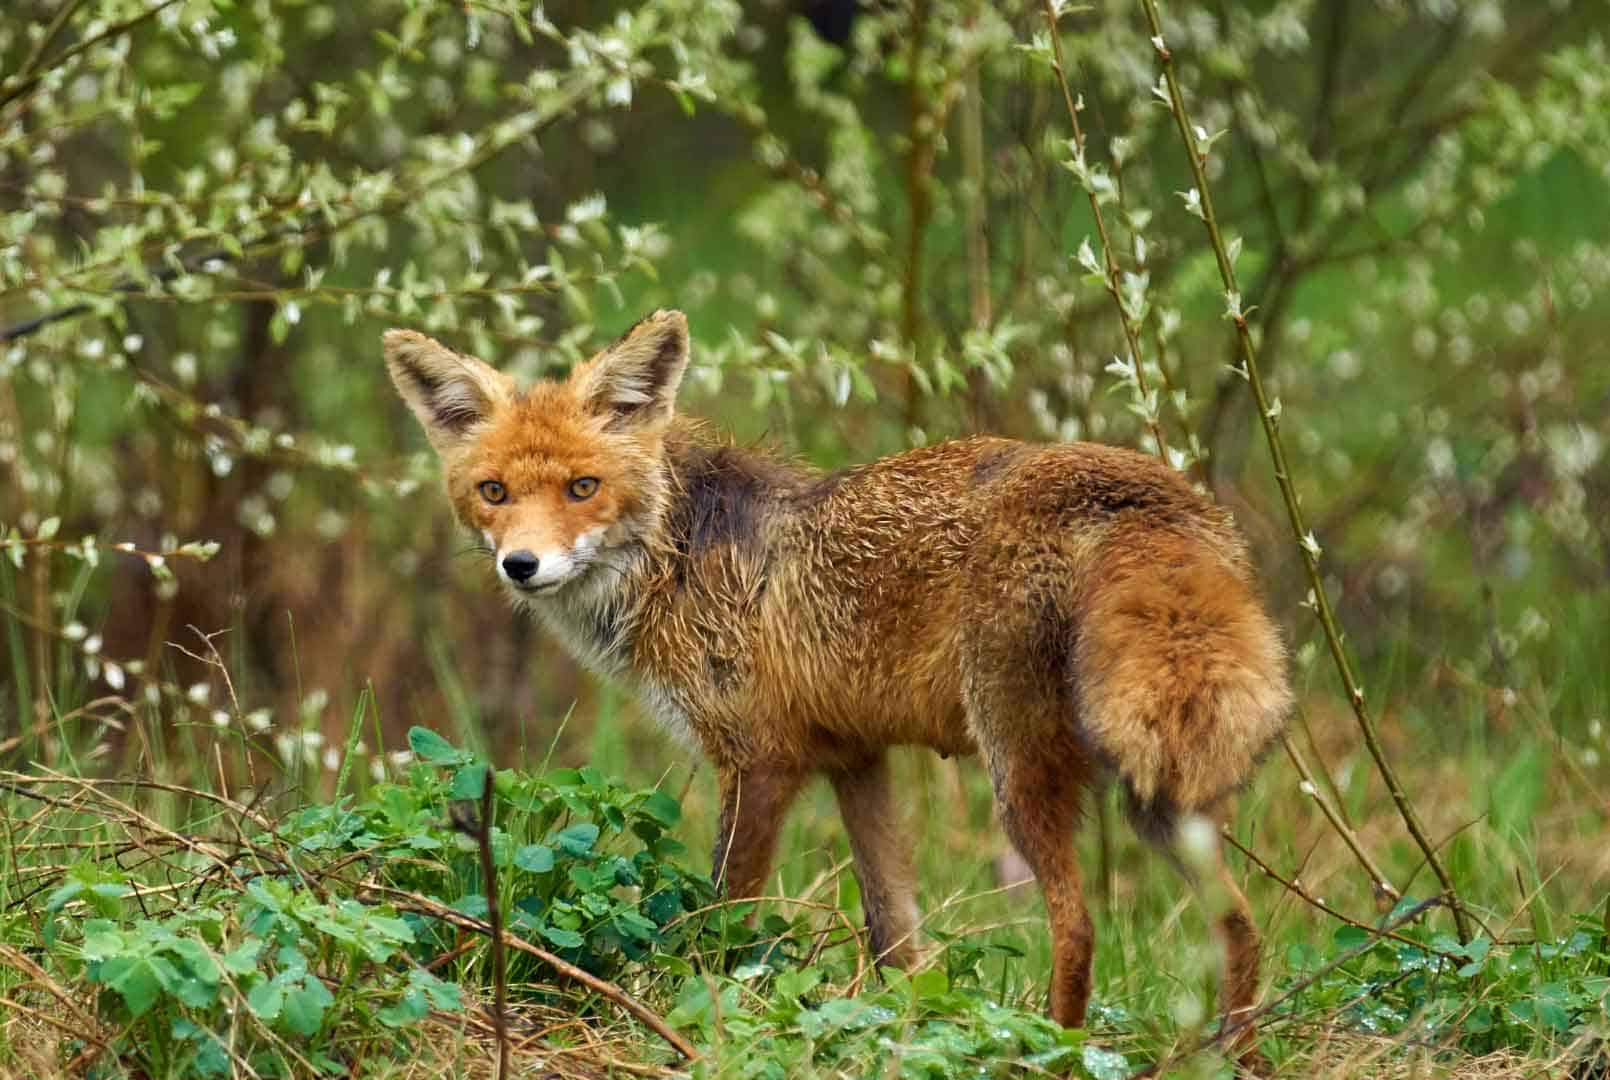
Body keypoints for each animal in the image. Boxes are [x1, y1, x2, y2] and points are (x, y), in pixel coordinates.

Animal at [386, 309, 1294, 1062]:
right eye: (493, 492)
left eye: (583, 488)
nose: (522, 565)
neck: (680, 556)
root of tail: (1133, 489)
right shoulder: (857, 759)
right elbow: (896, 933)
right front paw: (907, 1030)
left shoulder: (760, 762)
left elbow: (721, 917)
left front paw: (696, 1018)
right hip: (1160, 795)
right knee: (1242, 928)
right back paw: (1238, 1058)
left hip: (1019, 773)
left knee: (1077, 928)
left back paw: (1052, 1052)